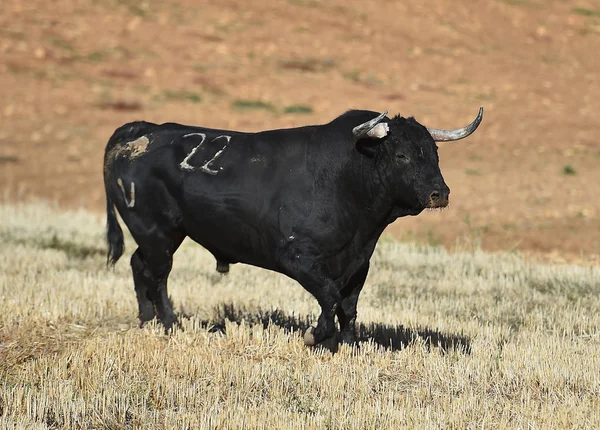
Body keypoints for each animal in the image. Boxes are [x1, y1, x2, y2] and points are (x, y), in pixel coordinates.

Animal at [103, 107, 482, 346]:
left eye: (434, 153)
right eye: (401, 155)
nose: (440, 193)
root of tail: (142, 130)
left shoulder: (359, 262)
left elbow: (348, 305)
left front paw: (348, 345)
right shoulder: (297, 257)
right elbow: (329, 296)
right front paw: (315, 335)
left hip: (163, 236)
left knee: (140, 266)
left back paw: (147, 320)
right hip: (157, 233)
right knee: (158, 275)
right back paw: (169, 324)